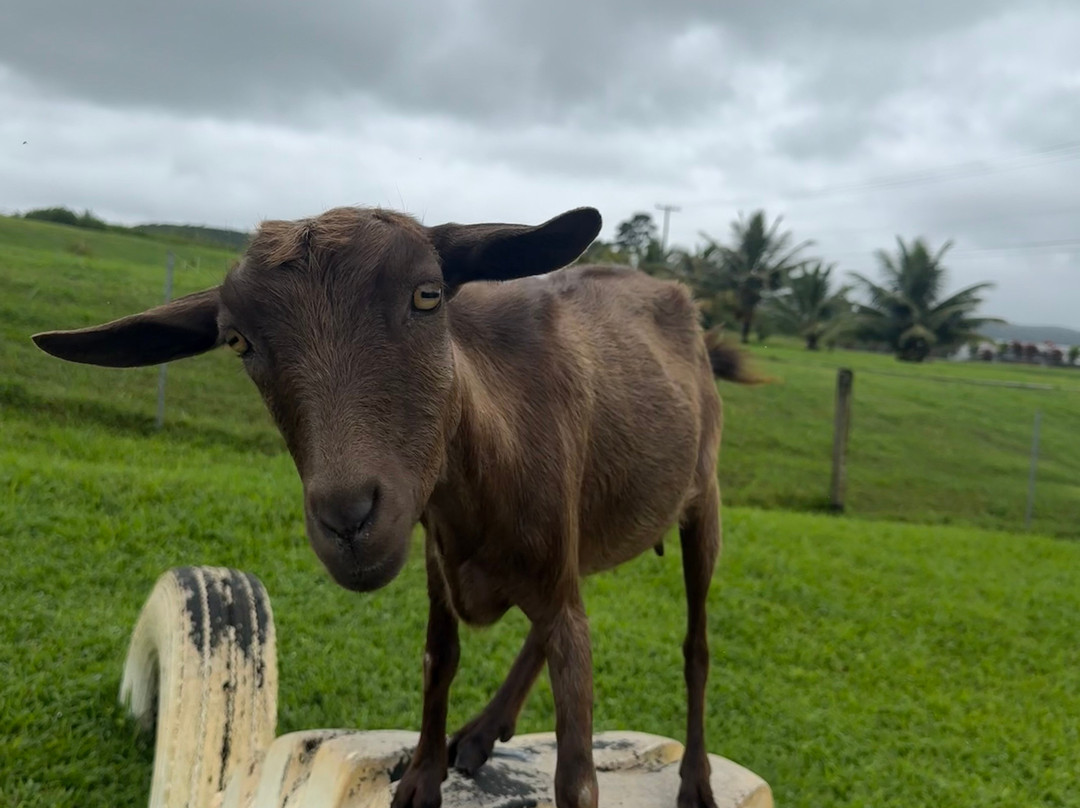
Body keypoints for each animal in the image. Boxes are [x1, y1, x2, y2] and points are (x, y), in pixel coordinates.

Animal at [32, 205, 758, 808]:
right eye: (236, 340)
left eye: (427, 294)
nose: (349, 519)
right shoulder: (440, 552)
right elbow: (440, 657)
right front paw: (423, 774)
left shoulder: (549, 573)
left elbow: (576, 770)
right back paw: (484, 730)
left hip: (704, 505)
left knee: (696, 644)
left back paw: (695, 780)